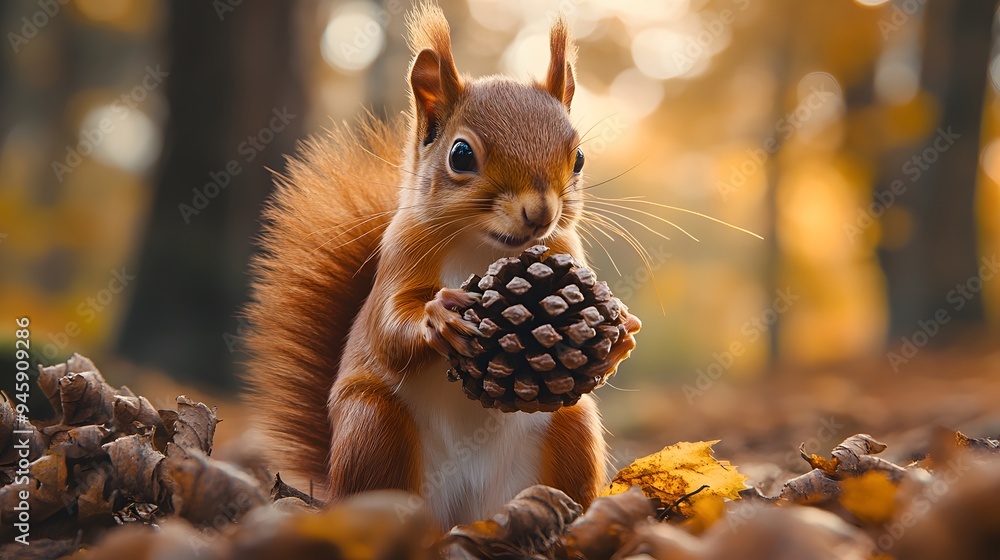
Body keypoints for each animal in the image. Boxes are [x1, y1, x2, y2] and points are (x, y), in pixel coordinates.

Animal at [244, 3, 640, 528]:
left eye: (577, 158)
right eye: (461, 154)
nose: (541, 213)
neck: (485, 248)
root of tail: (465, 513)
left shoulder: (564, 248)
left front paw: (624, 331)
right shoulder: (400, 255)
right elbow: (389, 330)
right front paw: (439, 316)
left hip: (569, 428)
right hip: (373, 428)